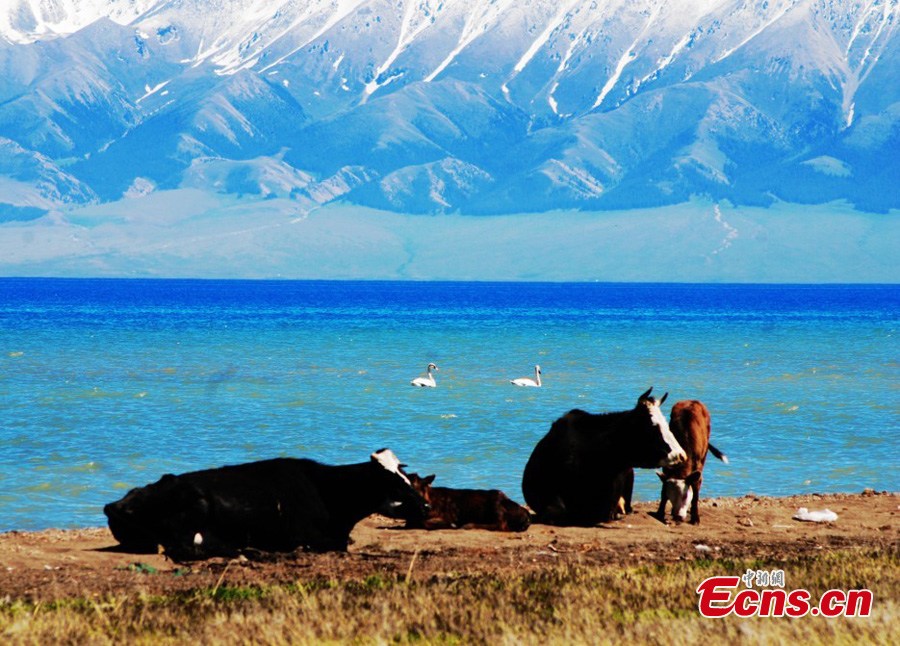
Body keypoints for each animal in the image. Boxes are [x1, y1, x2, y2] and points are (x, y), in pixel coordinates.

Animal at [103, 450, 428, 560]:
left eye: (405, 475)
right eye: (394, 481)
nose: (425, 507)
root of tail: (115, 503)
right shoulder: (308, 536)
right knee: (185, 548)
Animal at [404, 474, 532, 536]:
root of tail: (525, 514)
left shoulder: (447, 517)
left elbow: (425, 522)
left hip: (496, 505)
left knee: (500, 526)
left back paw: (468, 525)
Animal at [656, 400, 728, 528]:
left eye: (685, 495)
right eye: (670, 495)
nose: (678, 516)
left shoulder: (697, 469)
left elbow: (695, 492)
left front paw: (695, 518)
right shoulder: (667, 466)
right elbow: (663, 491)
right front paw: (660, 512)